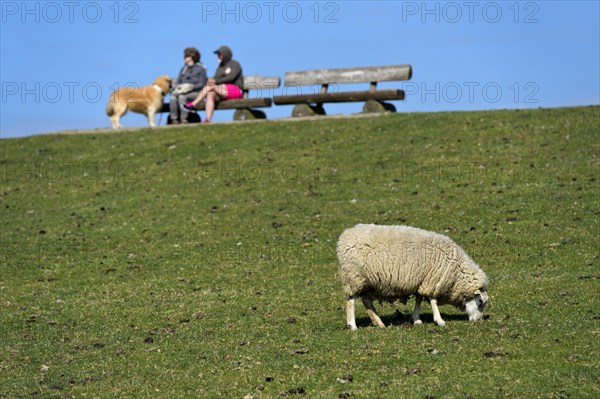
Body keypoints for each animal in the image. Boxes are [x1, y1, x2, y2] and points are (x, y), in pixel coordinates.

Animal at [336, 225, 490, 332]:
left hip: (368, 282)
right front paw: (439, 320)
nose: (478, 320)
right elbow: (432, 300)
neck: (456, 269)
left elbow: (419, 300)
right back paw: (353, 325)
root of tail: (345, 235)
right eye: (480, 302)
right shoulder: (432, 279)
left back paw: (379, 323)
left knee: (366, 301)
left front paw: (416, 319)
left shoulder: (422, 280)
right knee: (351, 301)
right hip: (353, 277)